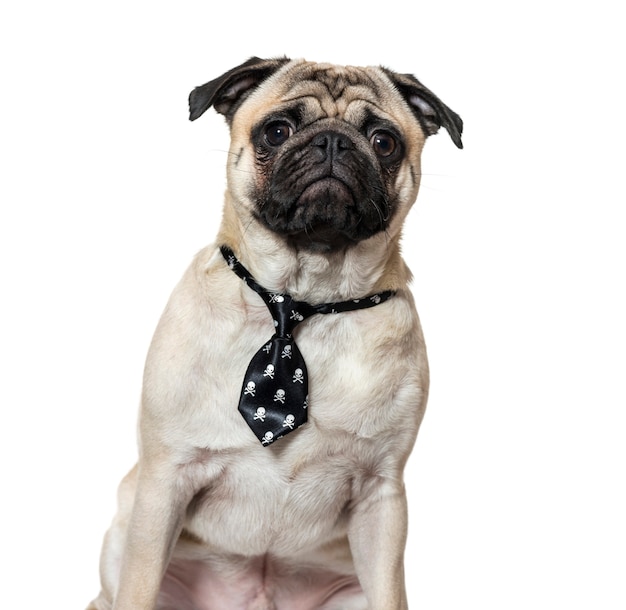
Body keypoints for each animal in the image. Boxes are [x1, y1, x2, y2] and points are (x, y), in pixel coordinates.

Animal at [86, 57, 458, 608]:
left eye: (384, 141)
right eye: (277, 131)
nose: (332, 141)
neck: (302, 299)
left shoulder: (382, 494)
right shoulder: (164, 482)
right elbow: (139, 584)